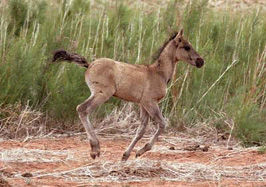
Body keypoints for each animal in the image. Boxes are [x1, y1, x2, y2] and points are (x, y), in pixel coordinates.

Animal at [53, 29, 204, 161]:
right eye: (187, 47)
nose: (201, 61)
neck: (158, 73)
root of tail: (90, 64)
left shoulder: (143, 105)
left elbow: (141, 130)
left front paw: (126, 155)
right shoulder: (150, 102)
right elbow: (162, 124)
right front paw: (142, 150)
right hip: (102, 94)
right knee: (82, 109)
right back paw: (95, 149)